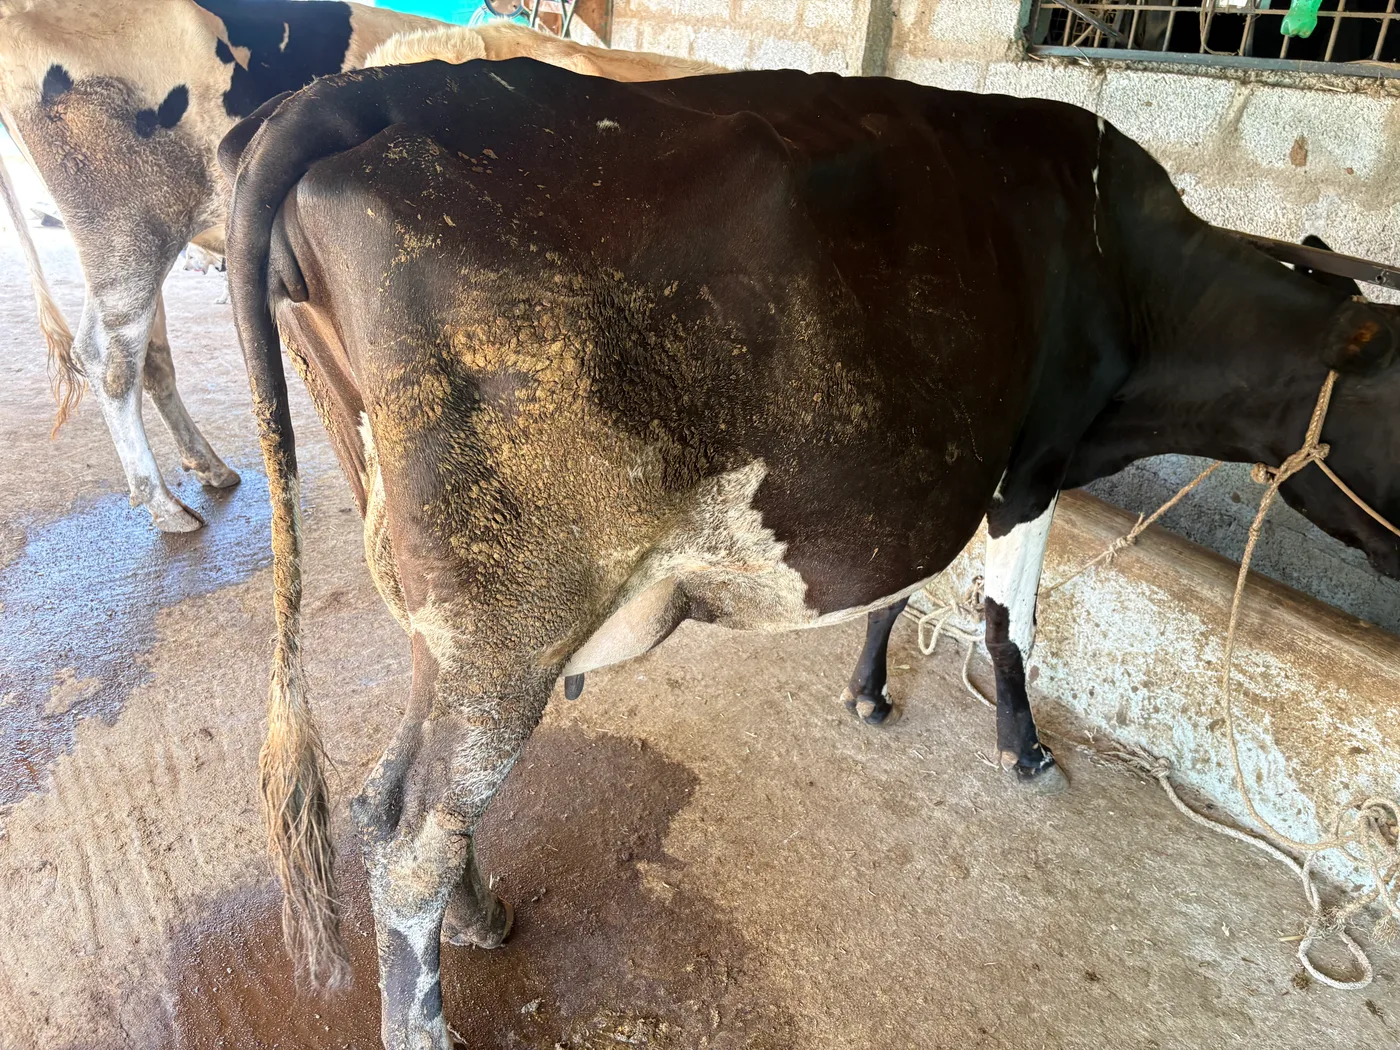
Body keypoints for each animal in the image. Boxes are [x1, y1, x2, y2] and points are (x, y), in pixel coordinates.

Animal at [221, 58, 1400, 1049]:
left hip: (431, 599)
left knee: (393, 798)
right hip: (506, 607)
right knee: (412, 833)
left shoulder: (941, 469)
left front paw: (868, 691)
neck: (1136, 274)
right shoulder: (1037, 454)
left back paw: (483, 914)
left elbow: (907, 589)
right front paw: (1024, 752)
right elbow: (1006, 621)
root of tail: (366, 93)